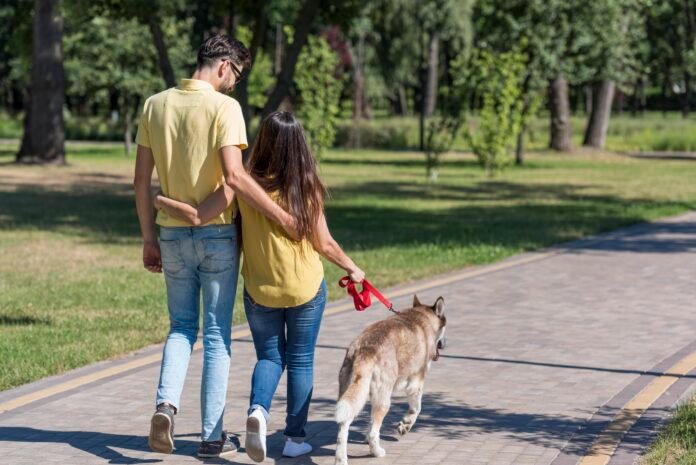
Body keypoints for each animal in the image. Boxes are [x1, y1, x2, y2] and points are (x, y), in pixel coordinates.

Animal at [336, 296, 446, 462]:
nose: (445, 344)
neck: (421, 316)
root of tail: (365, 349)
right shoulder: (415, 384)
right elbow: (416, 409)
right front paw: (405, 425)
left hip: (353, 395)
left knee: (343, 429)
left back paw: (341, 459)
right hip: (383, 401)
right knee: (373, 432)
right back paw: (377, 452)